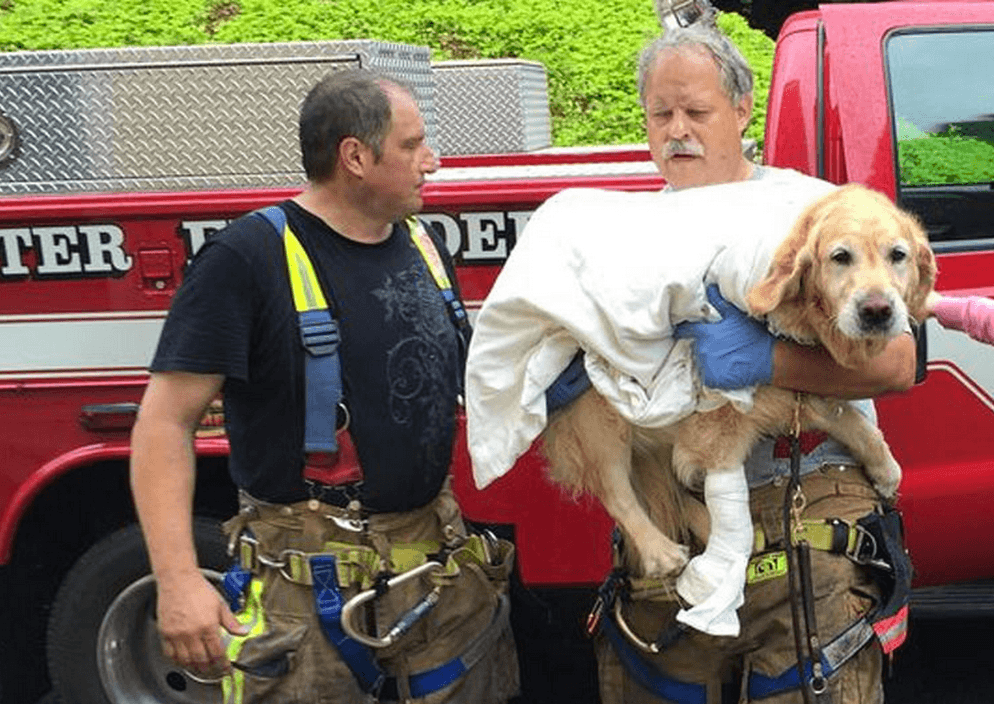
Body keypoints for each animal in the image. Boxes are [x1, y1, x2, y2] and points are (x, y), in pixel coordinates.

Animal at [540, 184, 932, 580]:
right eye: (840, 256)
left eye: (898, 255)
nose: (877, 311)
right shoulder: (719, 421)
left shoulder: (793, 393)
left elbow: (855, 423)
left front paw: (886, 471)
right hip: (598, 418)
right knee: (616, 490)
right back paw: (661, 552)